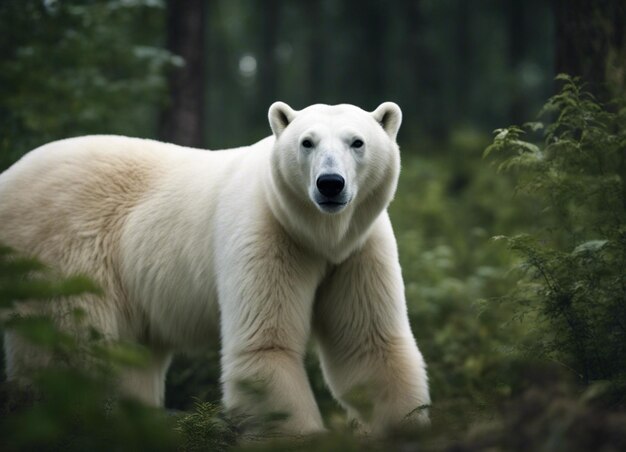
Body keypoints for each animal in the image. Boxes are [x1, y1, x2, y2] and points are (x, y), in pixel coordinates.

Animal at [0, 101, 428, 434]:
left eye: (357, 142)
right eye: (307, 142)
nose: (330, 184)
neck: (316, 233)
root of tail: (10, 176)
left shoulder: (357, 250)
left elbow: (369, 344)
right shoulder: (266, 234)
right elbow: (264, 346)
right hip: (65, 252)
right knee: (75, 351)